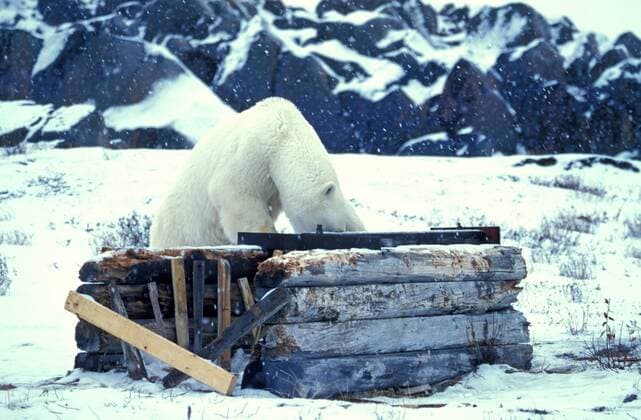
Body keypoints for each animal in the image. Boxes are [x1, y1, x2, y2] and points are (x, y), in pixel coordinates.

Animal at [149, 97, 365, 248]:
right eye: (324, 228)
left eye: (342, 228)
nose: (339, 232)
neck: (286, 131)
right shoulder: (255, 152)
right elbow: (234, 190)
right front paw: (268, 234)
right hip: (181, 228)